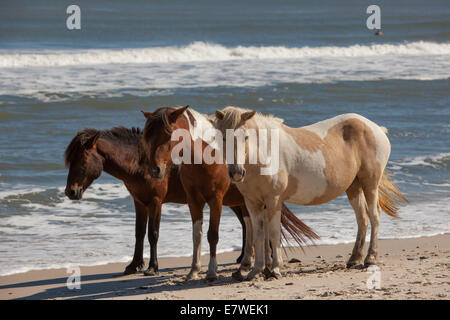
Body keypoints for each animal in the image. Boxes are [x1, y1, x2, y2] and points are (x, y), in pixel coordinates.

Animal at [63, 127, 250, 276]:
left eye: (82, 160)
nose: (70, 192)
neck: (140, 163)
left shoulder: (155, 202)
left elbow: (153, 234)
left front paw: (152, 267)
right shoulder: (139, 203)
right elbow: (139, 233)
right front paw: (134, 265)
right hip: (235, 202)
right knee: (245, 224)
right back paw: (242, 257)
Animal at [141, 107, 320, 280]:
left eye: (168, 134)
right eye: (147, 137)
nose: (155, 170)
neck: (204, 157)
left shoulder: (216, 199)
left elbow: (212, 235)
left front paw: (211, 272)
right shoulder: (194, 201)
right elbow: (196, 235)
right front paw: (194, 270)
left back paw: (265, 264)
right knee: (252, 226)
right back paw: (248, 264)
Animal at [214, 107, 408, 280]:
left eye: (245, 137)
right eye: (223, 137)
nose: (237, 173)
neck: (265, 153)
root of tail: (376, 128)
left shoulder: (274, 200)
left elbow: (274, 233)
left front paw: (274, 270)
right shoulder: (253, 202)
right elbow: (259, 234)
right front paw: (257, 271)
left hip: (370, 183)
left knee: (374, 216)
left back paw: (370, 258)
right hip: (353, 187)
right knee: (362, 219)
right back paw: (354, 259)